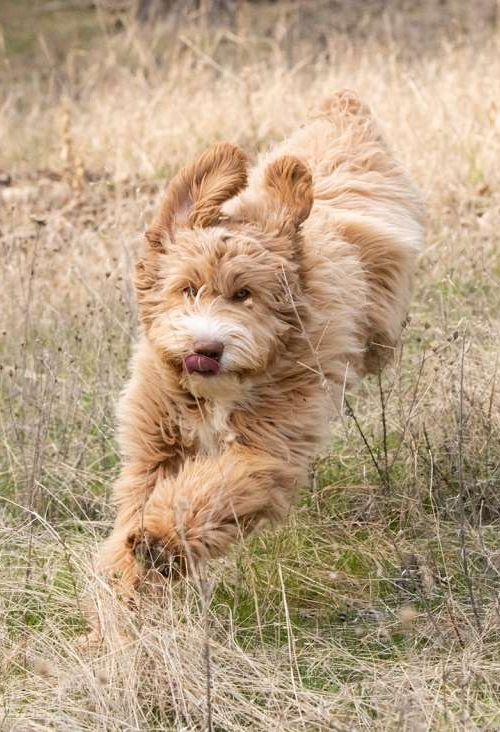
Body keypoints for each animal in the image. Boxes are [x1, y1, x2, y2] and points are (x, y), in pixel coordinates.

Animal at [99, 88, 424, 588]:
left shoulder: (267, 447)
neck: (216, 394)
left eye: (244, 295)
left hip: (384, 313)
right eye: (188, 289)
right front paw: (123, 584)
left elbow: (210, 492)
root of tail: (343, 112)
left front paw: (162, 542)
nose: (207, 349)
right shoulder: (155, 445)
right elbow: (138, 499)